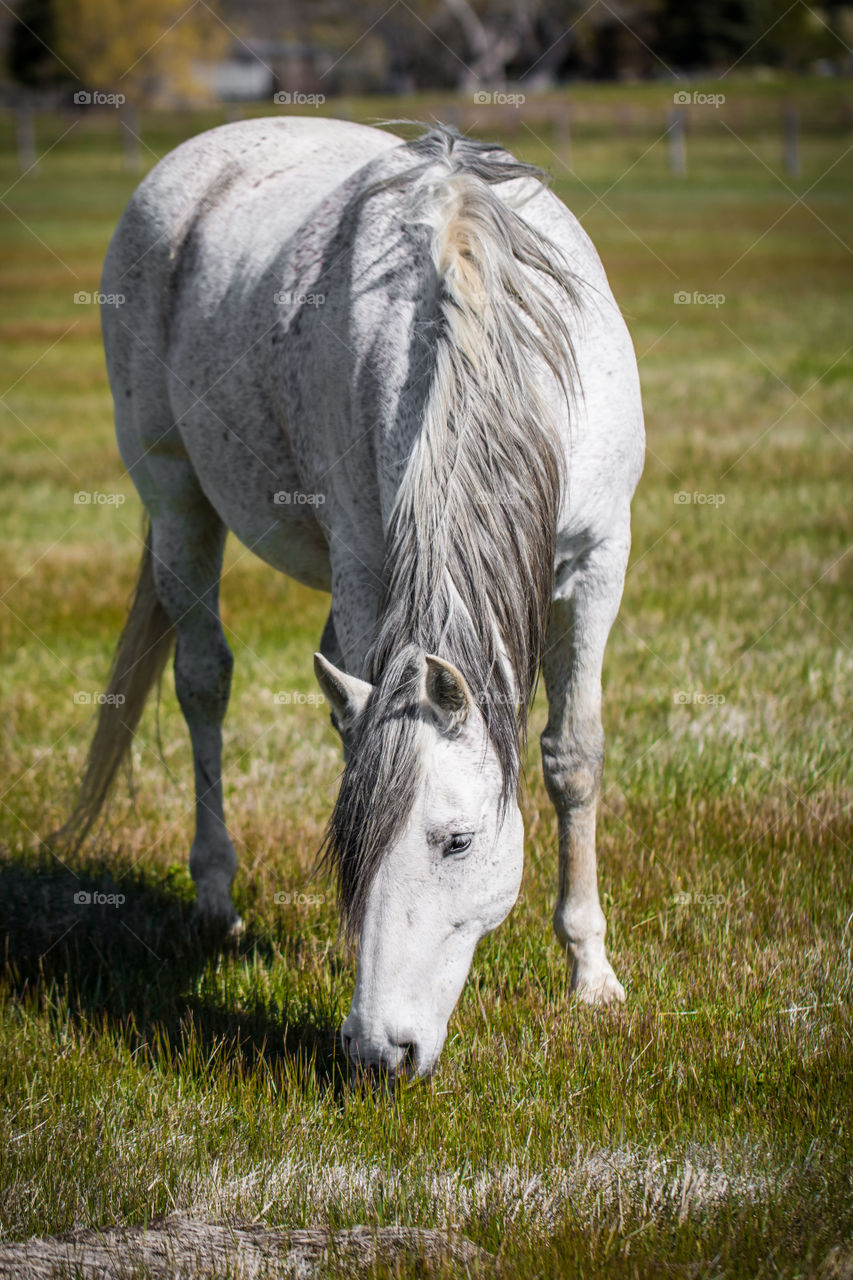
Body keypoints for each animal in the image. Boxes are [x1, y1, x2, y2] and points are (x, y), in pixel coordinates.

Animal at [61, 118, 644, 1080]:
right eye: (350, 839)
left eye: (457, 841)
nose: (381, 1051)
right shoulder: (370, 565)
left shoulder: (598, 564)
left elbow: (573, 757)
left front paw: (591, 974)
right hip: (177, 500)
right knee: (203, 681)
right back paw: (215, 900)